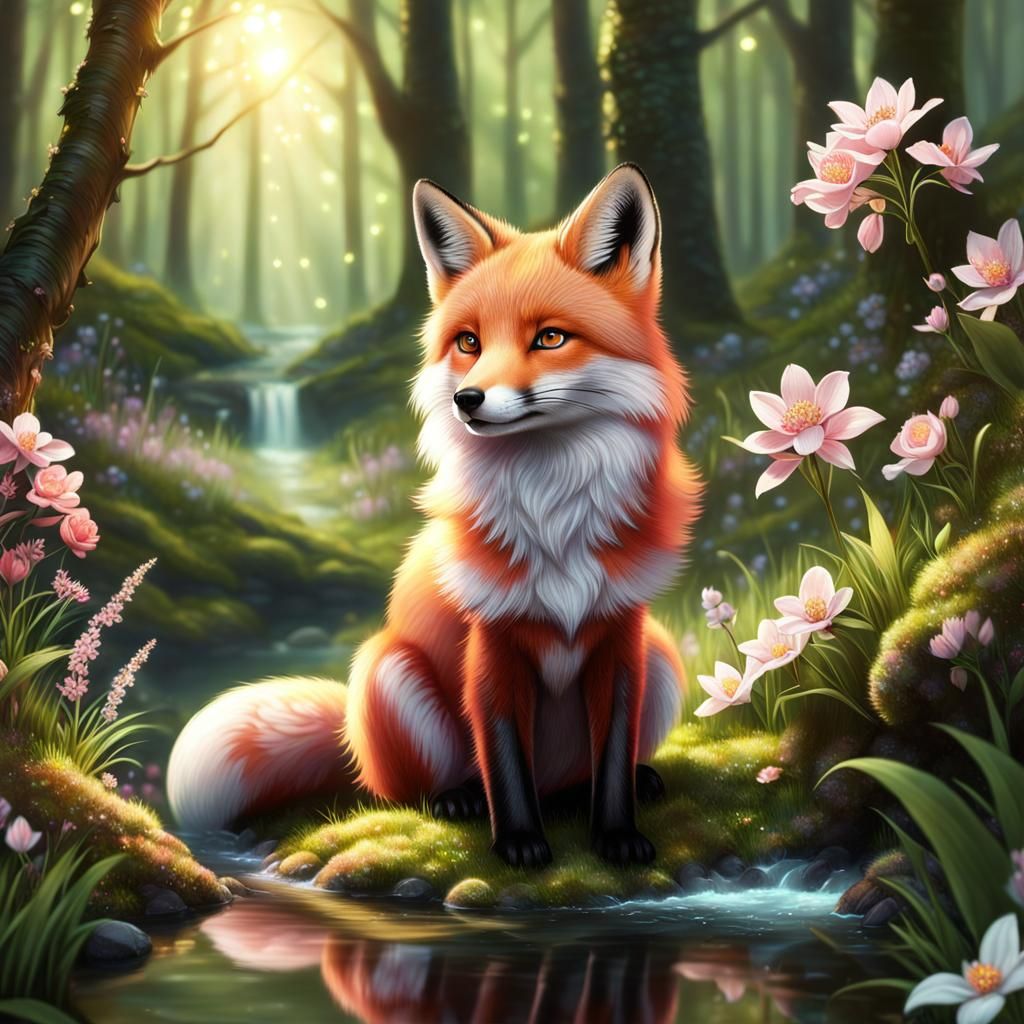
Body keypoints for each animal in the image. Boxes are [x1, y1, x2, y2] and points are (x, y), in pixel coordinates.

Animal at [168, 163, 702, 867]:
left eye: (550, 337)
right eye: (468, 342)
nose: (466, 400)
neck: (553, 514)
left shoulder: (621, 634)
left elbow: (612, 753)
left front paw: (617, 835)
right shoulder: (490, 640)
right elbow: (503, 758)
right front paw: (520, 843)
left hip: (661, 656)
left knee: (579, 775)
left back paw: (616, 783)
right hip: (388, 668)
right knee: (417, 786)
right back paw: (457, 798)